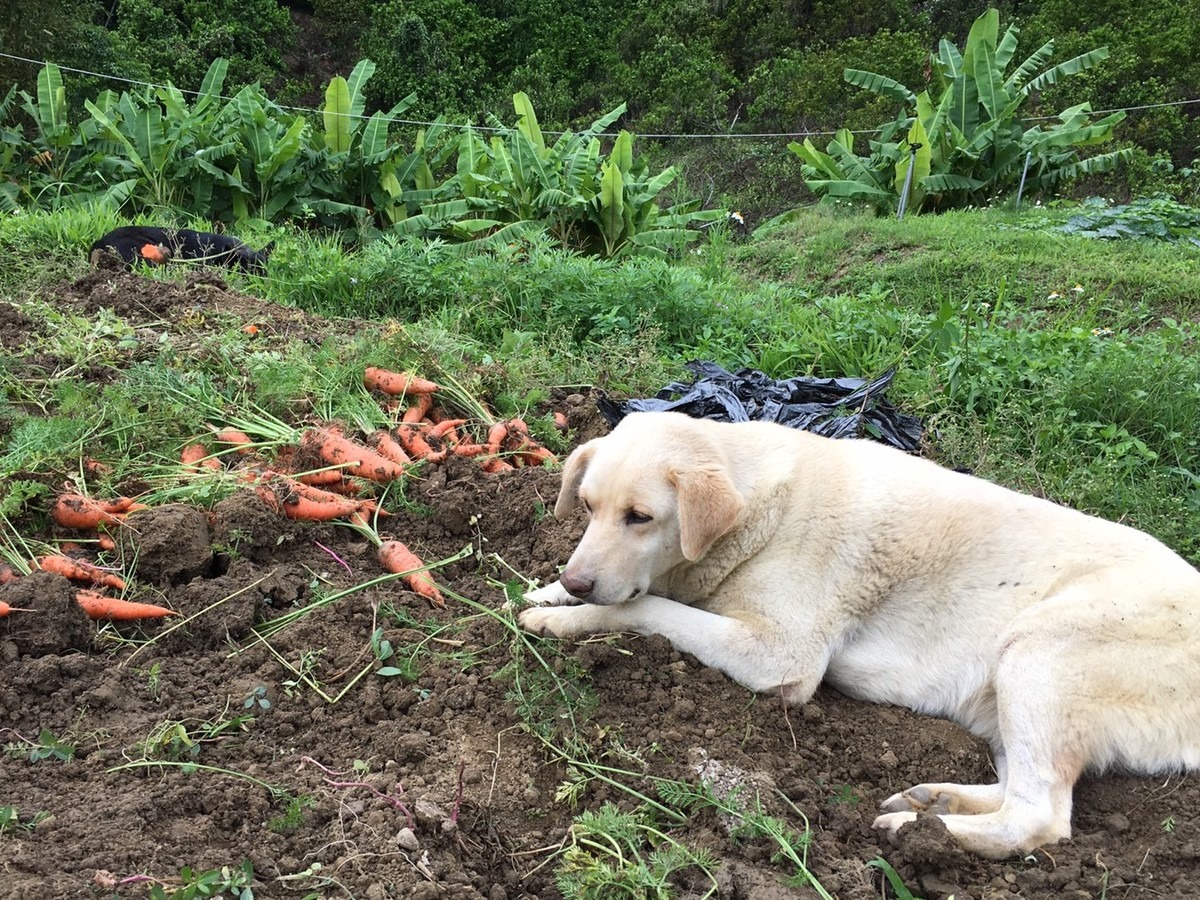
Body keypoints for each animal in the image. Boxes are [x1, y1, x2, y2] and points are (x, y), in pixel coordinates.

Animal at [523, 410, 1200, 859]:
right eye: (587, 507)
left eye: (640, 518)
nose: (577, 579)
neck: (760, 511)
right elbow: (645, 596)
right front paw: (545, 592)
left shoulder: (781, 657)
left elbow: (647, 608)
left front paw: (566, 618)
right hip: (1009, 697)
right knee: (1017, 791)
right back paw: (932, 803)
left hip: (1038, 653)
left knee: (1038, 818)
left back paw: (922, 834)